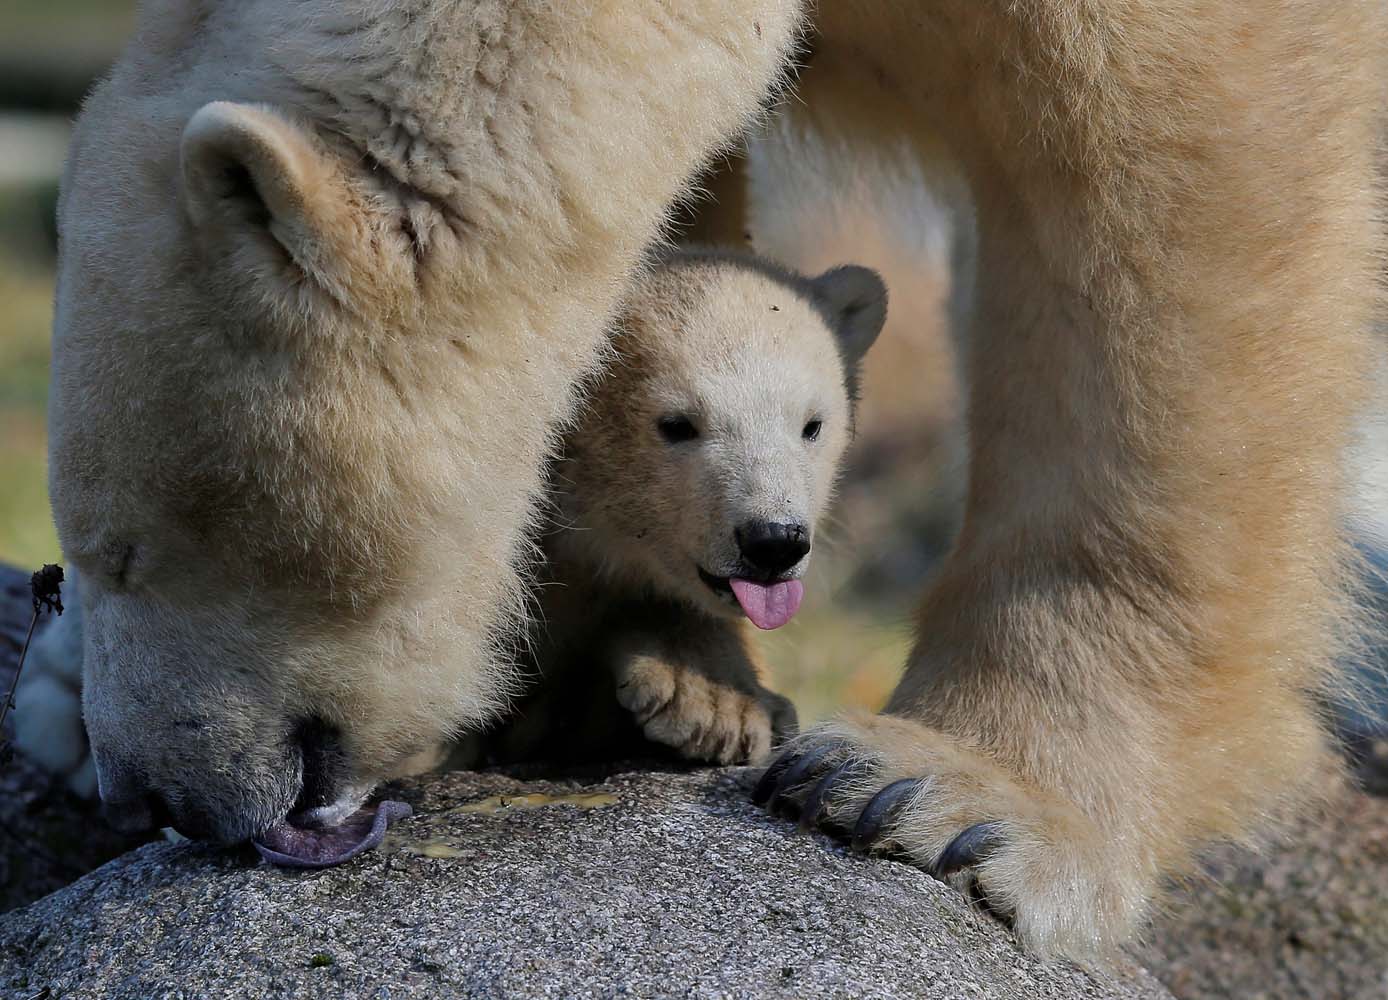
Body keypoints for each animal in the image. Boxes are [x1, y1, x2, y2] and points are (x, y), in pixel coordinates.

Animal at [46, 0, 1388, 961]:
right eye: (88, 550)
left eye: (129, 547)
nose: (158, 796)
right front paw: (680, 677)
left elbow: (1180, 190)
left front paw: (942, 791)